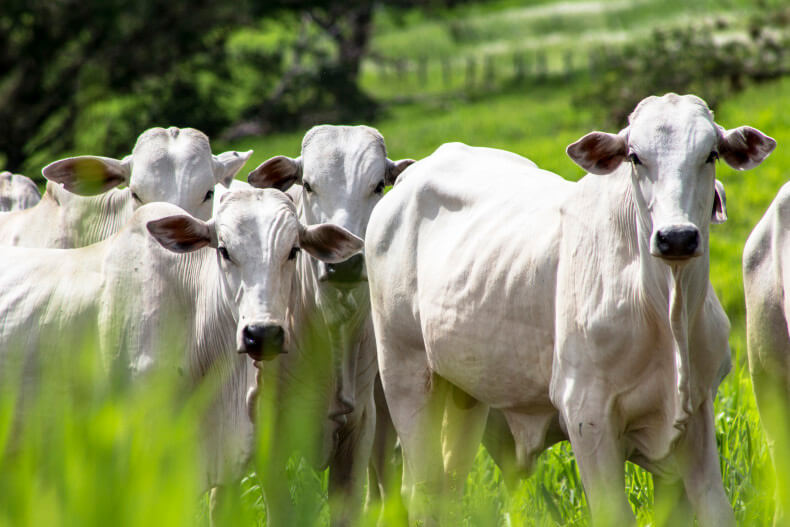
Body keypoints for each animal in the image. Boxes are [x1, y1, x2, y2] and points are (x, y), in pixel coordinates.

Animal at [368, 96, 776, 527]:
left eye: (710, 154)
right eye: (635, 157)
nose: (677, 237)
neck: (666, 307)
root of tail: (409, 179)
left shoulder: (696, 411)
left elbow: (715, 508)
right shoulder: (587, 415)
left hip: (464, 390)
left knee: (447, 486)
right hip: (405, 374)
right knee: (423, 490)